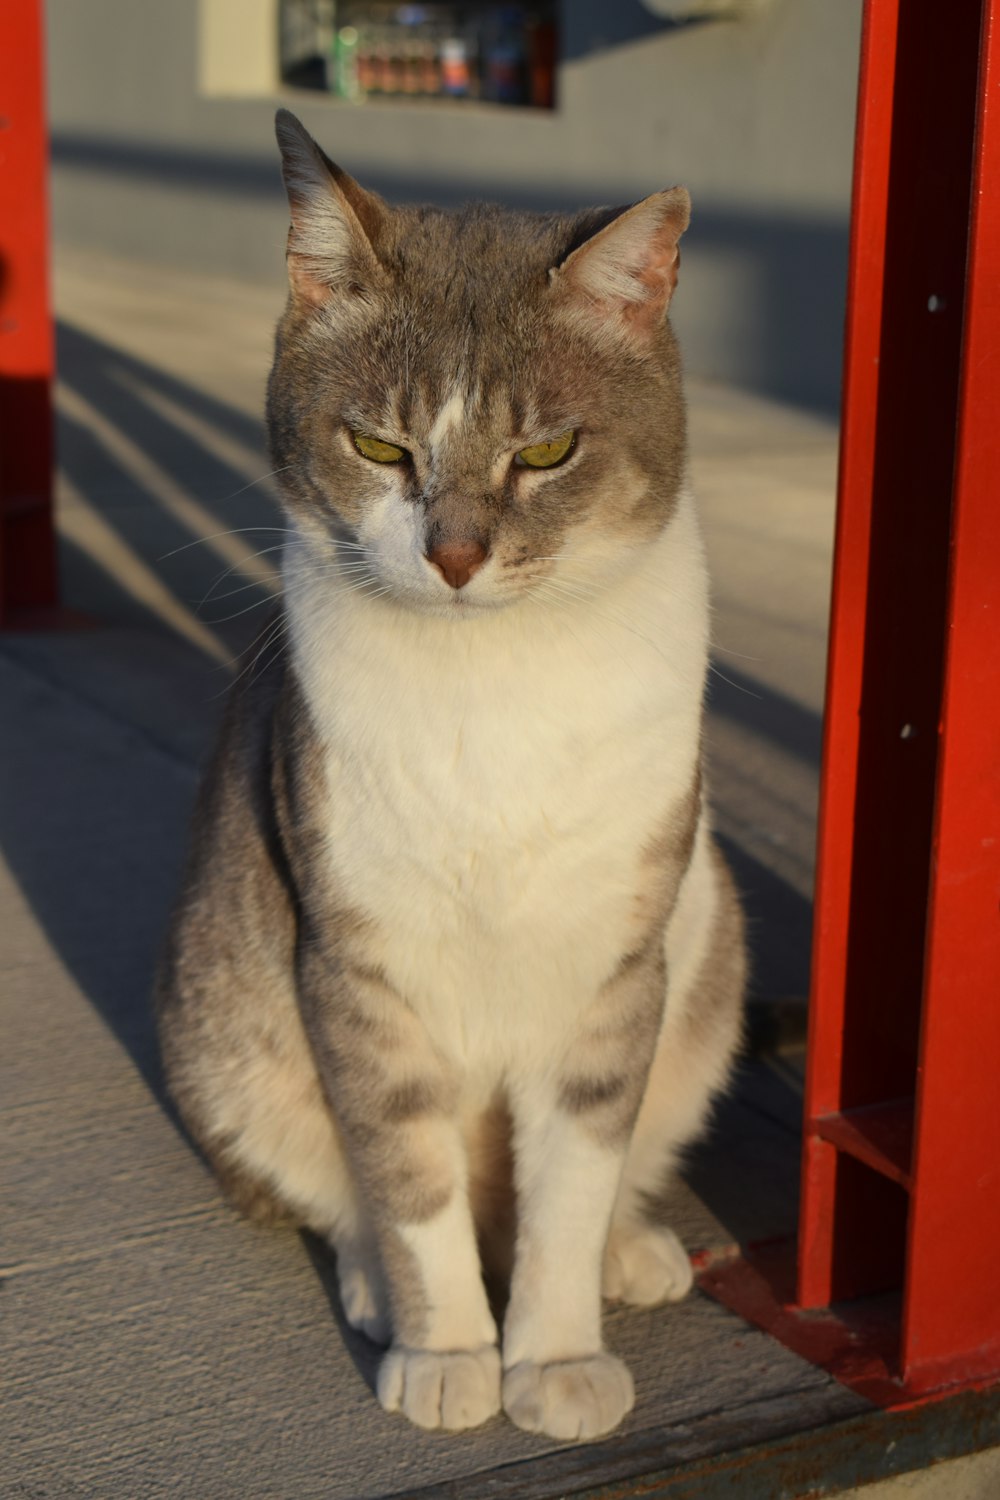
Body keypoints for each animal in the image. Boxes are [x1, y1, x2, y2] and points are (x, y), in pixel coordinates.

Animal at [156, 105, 743, 1440]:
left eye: (550, 449)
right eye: (380, 444)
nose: (458, 555)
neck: (491, 683)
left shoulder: (612, 968)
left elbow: (572, 1184)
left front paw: (555, 1353)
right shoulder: (355, 966)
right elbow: (405, 1174)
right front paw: (450, 1352)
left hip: (710, 952)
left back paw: (633, 1249)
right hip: (225, 1023)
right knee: (338, 1190)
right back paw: (377, 1285)